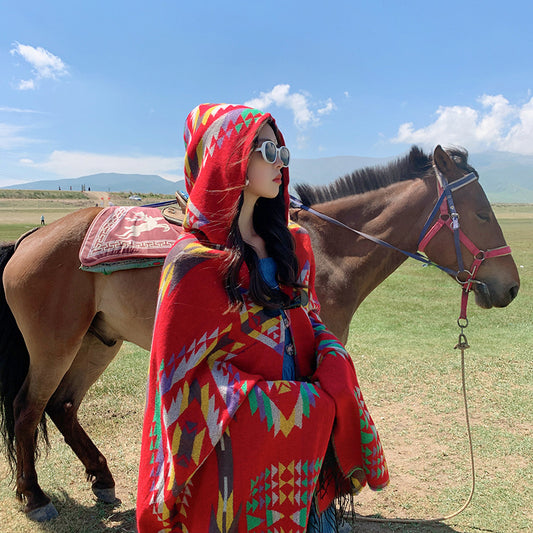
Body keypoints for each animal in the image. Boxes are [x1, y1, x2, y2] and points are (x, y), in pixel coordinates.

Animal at [0, 145, 516, 520]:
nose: (510, 286)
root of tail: (29, 238)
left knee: (63, 407)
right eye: (483, 214)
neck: (329, 249)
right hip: (55, 345)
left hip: (97, 342)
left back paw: (103, 481)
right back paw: (36, 498)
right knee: (29, 409)